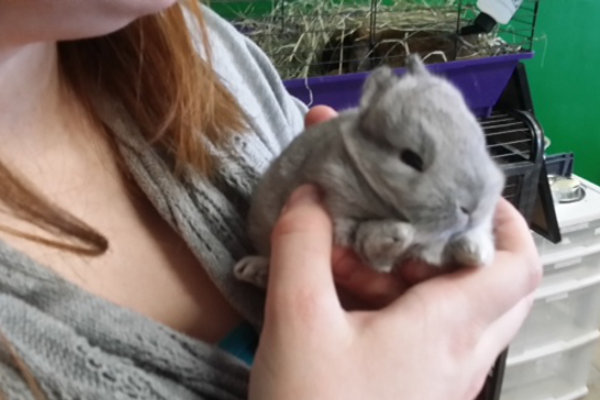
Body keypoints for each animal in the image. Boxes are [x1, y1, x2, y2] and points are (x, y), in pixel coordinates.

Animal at [236, 56, 506, 288]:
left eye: (480, 141)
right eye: (411, 159)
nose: (473, 207)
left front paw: (476, 252)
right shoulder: (338, 204)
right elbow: (369, 239)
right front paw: (400, 234)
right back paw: (249, 270)